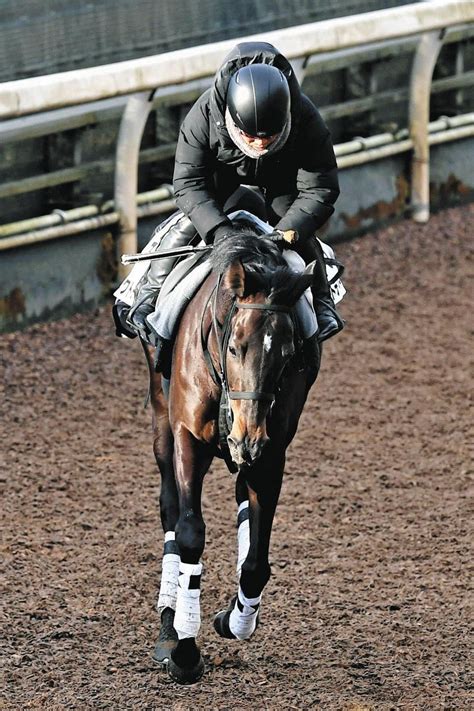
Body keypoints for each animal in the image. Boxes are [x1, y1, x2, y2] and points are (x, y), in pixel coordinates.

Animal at [141, 228, 322, 684]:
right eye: (237, 347)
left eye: (287, 354)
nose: (247, 434)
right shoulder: (188, 438)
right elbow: (189, 533)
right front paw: (185, 651)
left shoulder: (272, 452)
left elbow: (257, 561)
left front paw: (237, 619)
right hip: (161, 418)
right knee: (170, 507)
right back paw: (169, 625)